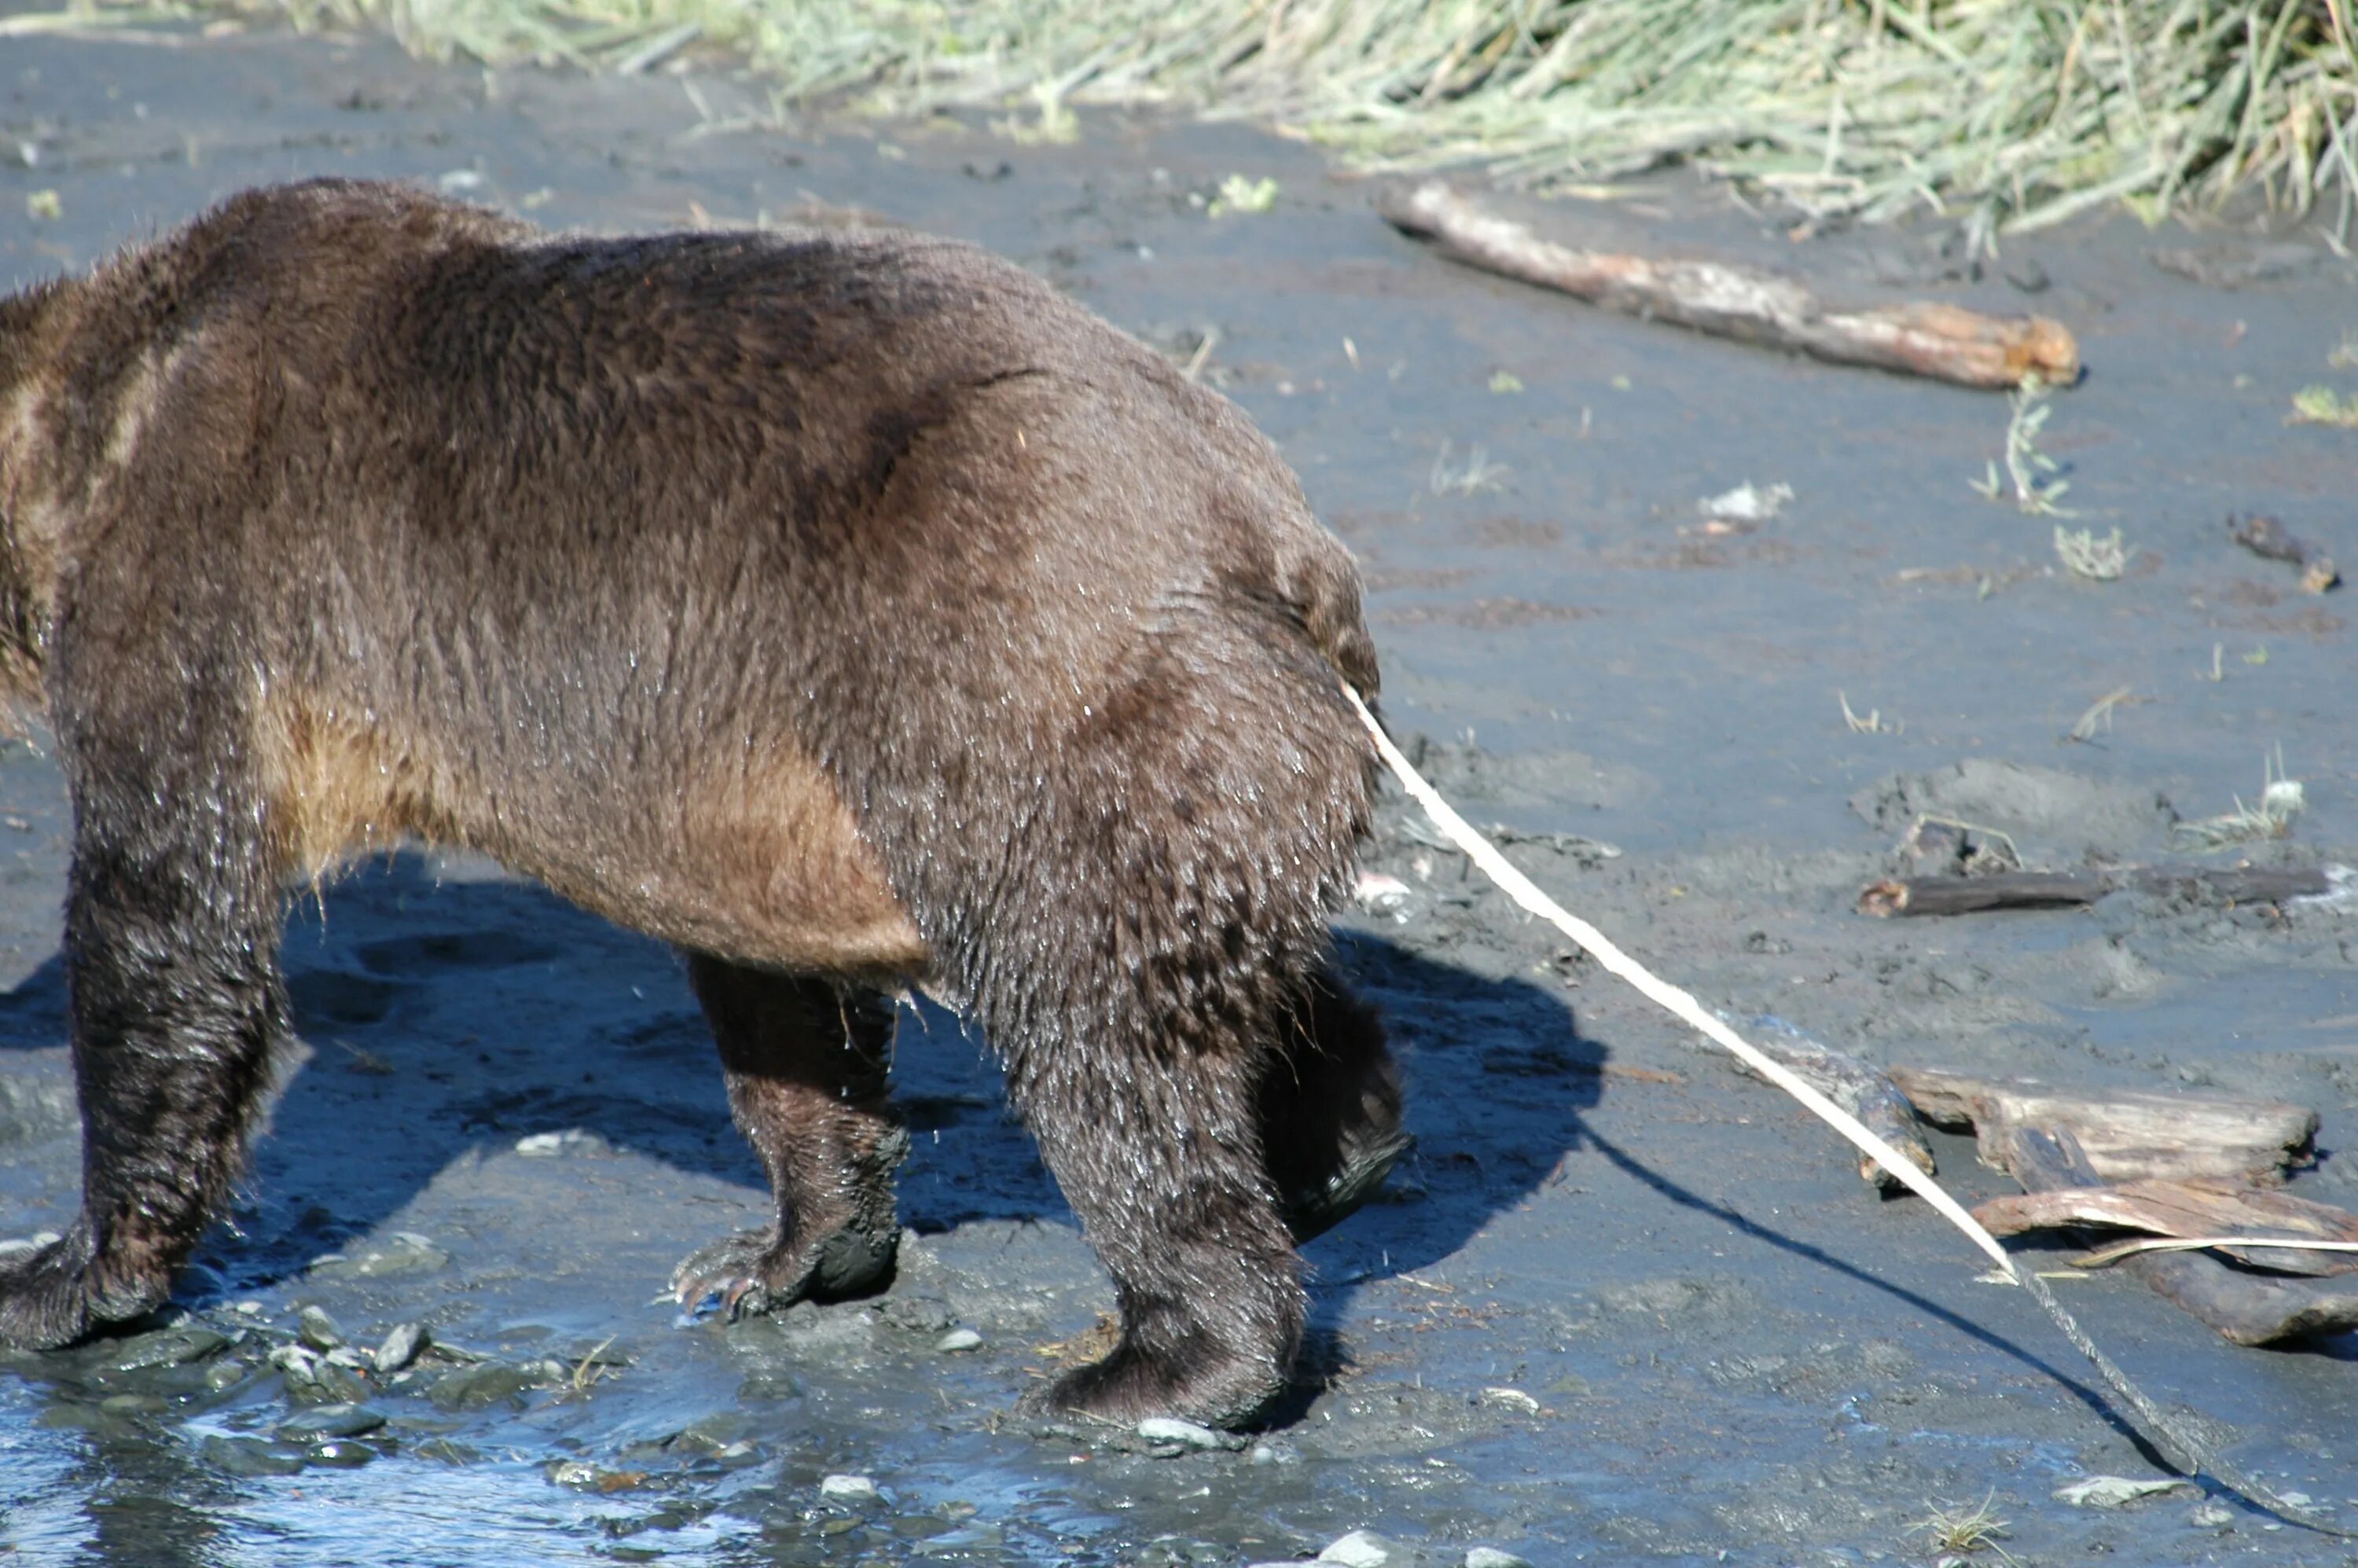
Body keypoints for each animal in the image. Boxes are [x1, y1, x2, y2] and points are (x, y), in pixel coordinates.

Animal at [0, 177, 1396, 1424]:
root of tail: (1285, 537)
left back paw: (1160, 1362)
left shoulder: (210, 575)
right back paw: (1342, 1138)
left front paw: (62, 1272)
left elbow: (167, 917)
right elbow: (784, 1003)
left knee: (1095, 1028)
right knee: (1209, 956)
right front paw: (789, 1249)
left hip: (1027, 678)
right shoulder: (738, 780)